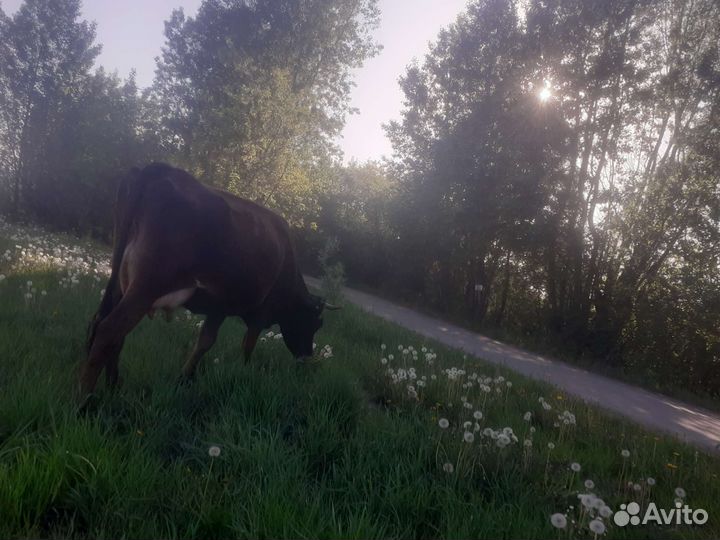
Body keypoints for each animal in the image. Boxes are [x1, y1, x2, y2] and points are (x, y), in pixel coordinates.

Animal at [82, 162, 337, 398]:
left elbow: (205, 341)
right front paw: (242, 370)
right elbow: (246, 346)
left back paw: (114, 385)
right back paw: (84, 402)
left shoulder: (219, 306)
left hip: (121, 280)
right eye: (316, 323)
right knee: (109, 331)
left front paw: (184, 377)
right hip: (147, 285)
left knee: (106, 328)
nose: (306, 357)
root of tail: (159, 169)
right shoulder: (261, 312)